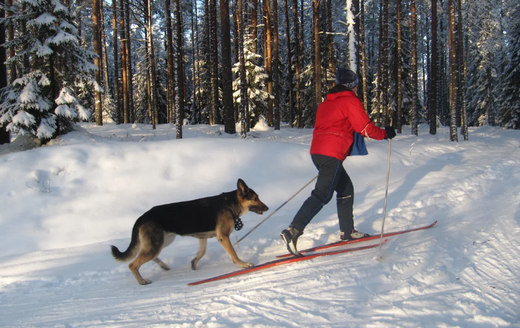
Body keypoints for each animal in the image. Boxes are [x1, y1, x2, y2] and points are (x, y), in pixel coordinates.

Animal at [112, 179, 270, 284]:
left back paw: (163, 266)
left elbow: (202, 252)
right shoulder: (223, 237)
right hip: (156, 244)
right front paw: (243, 265)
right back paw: (142, 281)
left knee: (150, 256)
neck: (230, 204)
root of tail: (142, 217)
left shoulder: (203, 238)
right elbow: (234, 254)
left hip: (163, 241)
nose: (267, 208)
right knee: (133, 264)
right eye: (255, 198)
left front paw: (194, 263)